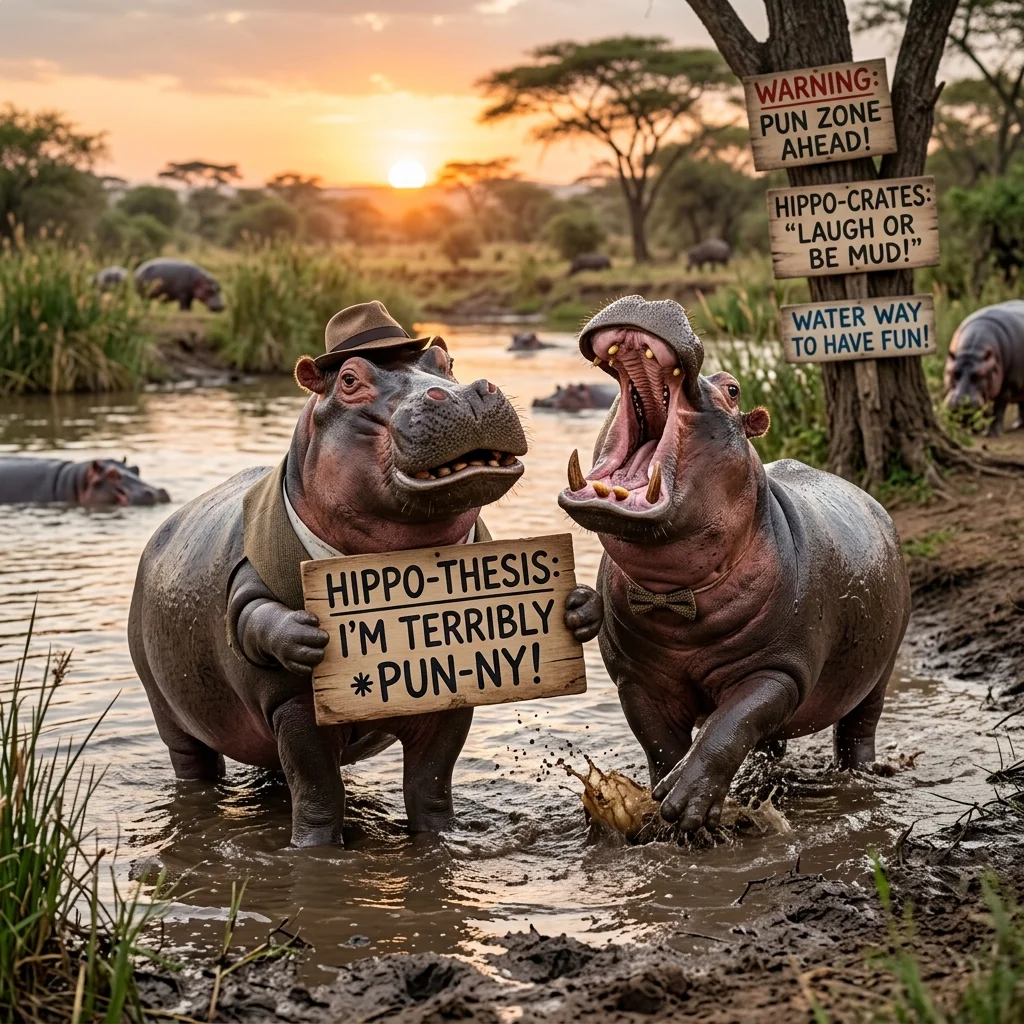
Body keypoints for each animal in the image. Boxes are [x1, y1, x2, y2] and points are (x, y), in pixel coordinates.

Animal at [129, 301, 602, 847]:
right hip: (170, 715)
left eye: (445, 361)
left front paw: (579, 607)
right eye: (350, 379)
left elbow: (430, 786)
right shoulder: (292, 704)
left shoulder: (455, 694)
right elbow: (317, 791)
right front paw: (313, 851)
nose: (465, 393)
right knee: (197, 768)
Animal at [558, 295, 910, 831]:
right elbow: (661, 743)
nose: (650, 299)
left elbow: (728, 727)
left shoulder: (778, 671)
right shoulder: (638, 680)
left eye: (733, 389)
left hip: (880, 672)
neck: (674, 595)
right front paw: (659, 803)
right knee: (769, 741)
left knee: (857, 729)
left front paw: (685, 803)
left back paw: (864, 775)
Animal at [944, 300, 1024, 436]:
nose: (961, 404)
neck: (973, 351)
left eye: (980, 374)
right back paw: (1017, 425)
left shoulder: (1006, 386)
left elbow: (998, 409)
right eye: (953, 372)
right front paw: (977, 430)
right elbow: (987, 410)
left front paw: (992, 433)